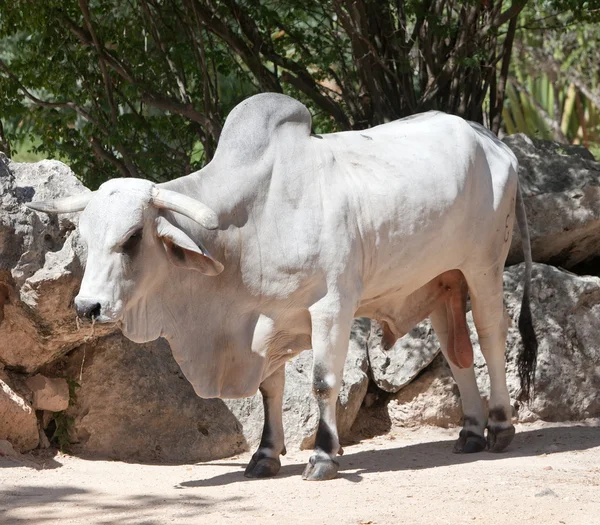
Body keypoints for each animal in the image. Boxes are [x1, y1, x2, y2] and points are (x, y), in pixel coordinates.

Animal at [28, 93, 536, 478]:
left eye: (132, 237)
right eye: (84, 237)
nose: (87, 307)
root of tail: (490, 140)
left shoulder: (332, 306)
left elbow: (323, 383)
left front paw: (324, 456)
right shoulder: (264, 321)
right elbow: (269, 390)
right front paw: (265, 456)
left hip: (483, 267)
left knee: (491, 336)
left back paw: (499, 427)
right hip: (442, 281)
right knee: (456, 351)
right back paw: (469, 431)